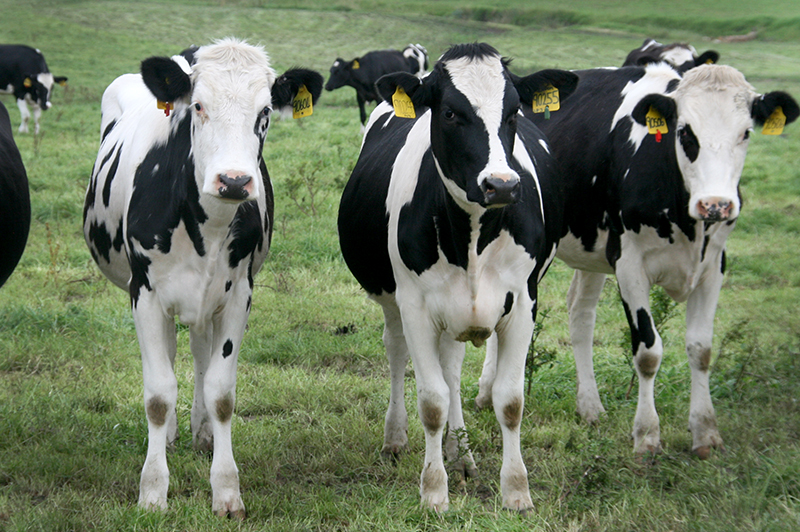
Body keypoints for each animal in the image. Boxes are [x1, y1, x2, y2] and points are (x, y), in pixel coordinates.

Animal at [84, 39, 324, 516]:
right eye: (198, 106)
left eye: (265, 112)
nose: (233, 180)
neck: (206, 226)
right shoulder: (144, 293)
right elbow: (158, 393)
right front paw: (153, 490)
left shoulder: (239, 294)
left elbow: (220, 391)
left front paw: (227, 489)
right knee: (173, 354)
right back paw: (173, 435)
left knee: (198, 352)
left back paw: (202, 431)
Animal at [336, 43, 576, 512]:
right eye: (449, 112)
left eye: (514, 111)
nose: (502, 185)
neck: (473, 238)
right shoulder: (414, 304)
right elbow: (432, 402)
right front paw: (433, 491)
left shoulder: (524, 302)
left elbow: (509, 400)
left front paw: (516, 490)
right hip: (394, 301)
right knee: (398, 353)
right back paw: (396, 438)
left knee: (451, 368)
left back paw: (460, 453)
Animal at [478, 62, 796, 460]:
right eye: (685, 133)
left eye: (746, 132)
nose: (716, 204)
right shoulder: (629, 263)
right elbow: (648, 352)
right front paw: (646, 436)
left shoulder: (714, 266)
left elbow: (702, 350)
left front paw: (705, 432)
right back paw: (486, 391)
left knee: (580, 313)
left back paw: (589, 406)